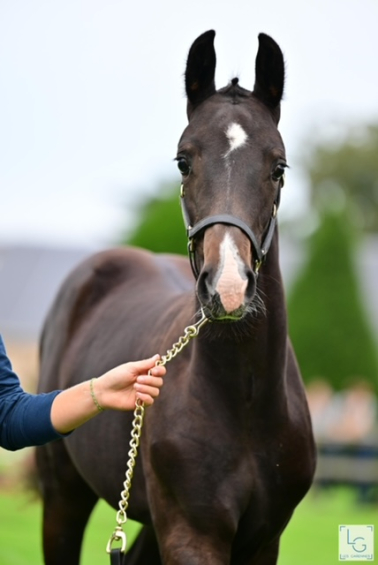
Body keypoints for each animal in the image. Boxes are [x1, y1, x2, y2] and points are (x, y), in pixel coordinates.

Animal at [37, 30, 316, 564]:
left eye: (279, 167)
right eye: (184, 161)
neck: (245, 398)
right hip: (63, 497)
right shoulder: (191, 533)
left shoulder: (264, 539)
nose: (228, 288)